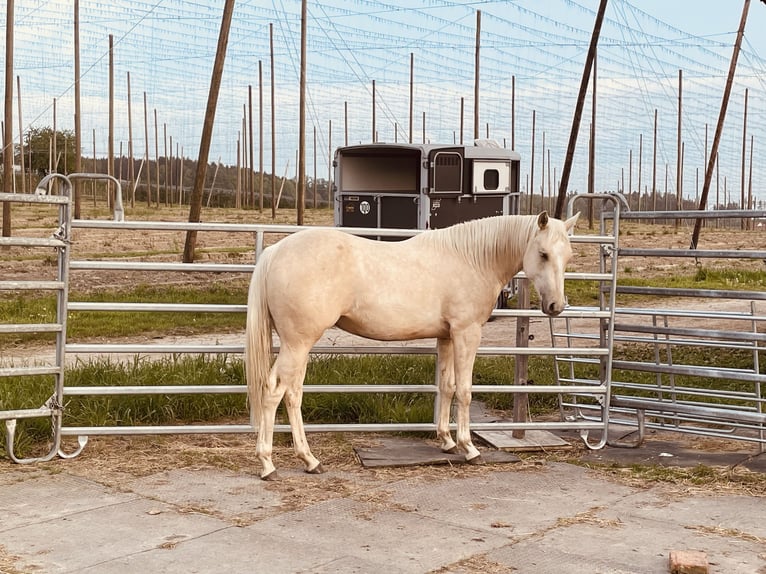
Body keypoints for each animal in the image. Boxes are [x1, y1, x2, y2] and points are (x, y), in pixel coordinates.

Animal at [249, 213, 580, 482]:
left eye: (568, 256)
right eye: (543, 253)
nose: (555, 306)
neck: (473, 259)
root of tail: (275, 252)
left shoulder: (447, 337)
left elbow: (446, 386)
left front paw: (447, 442)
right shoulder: (466, 333)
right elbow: (464, 390)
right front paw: (469, 448)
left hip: (300, 346)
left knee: (293, 394)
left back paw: (309, 460)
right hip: (298, 343)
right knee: (275, 391)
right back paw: (268, 464)